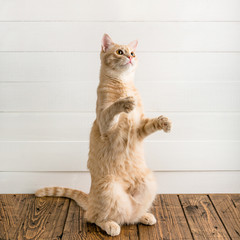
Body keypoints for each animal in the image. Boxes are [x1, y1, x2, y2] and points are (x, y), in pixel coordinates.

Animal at [35, 33, 171, 236]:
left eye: (133, 53)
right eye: (120, 52)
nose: (130, 57)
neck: (123, 84)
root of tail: (90, 200)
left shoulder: (139, 128)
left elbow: (150, 123)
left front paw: (164, 122)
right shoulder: (105, 124)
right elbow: (112, 109)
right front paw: (124, 102)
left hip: (148, 181)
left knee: (130, 214)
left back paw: (143, 216)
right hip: (109, 189)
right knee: (96, 217)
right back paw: (111, 225)